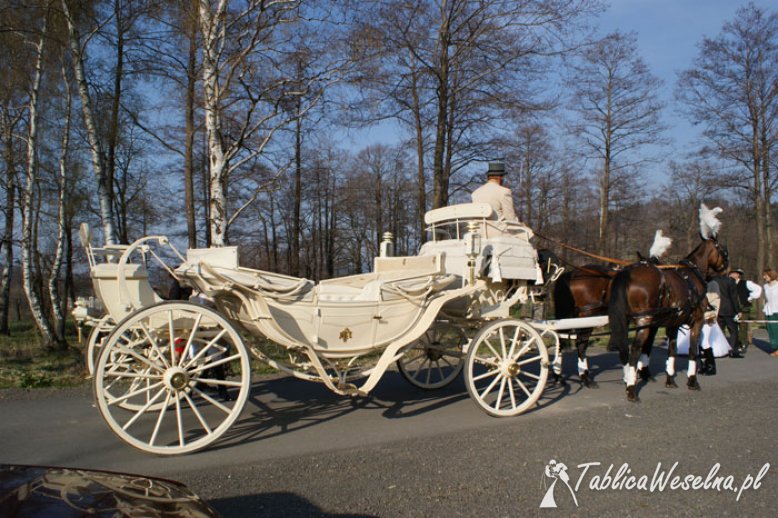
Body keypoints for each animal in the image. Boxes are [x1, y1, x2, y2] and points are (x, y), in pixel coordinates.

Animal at [608, 238, 728, 404]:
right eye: (723, 251)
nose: (727, 268)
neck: (692, 277)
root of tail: (628, 273)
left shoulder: (673, 325)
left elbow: (672, 350)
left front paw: (670, 380)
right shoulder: (697, 322)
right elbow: (692, 350)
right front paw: (692, 381)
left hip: (627, 322)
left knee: (625, 349)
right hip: (643, 322)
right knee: (635, 350)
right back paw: (631, 390)